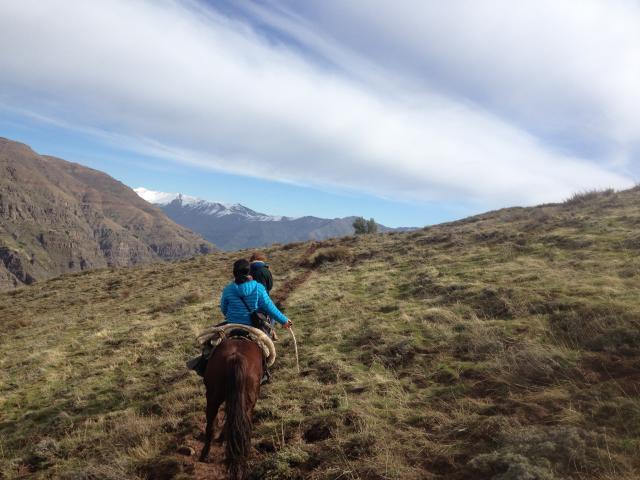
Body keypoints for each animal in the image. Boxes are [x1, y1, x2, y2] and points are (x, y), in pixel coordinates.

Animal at [198, 338, 262, 480]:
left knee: (211, 426)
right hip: (245, 403)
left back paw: (206, 455)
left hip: (213, 397)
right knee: (242, 427)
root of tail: (236, 357)